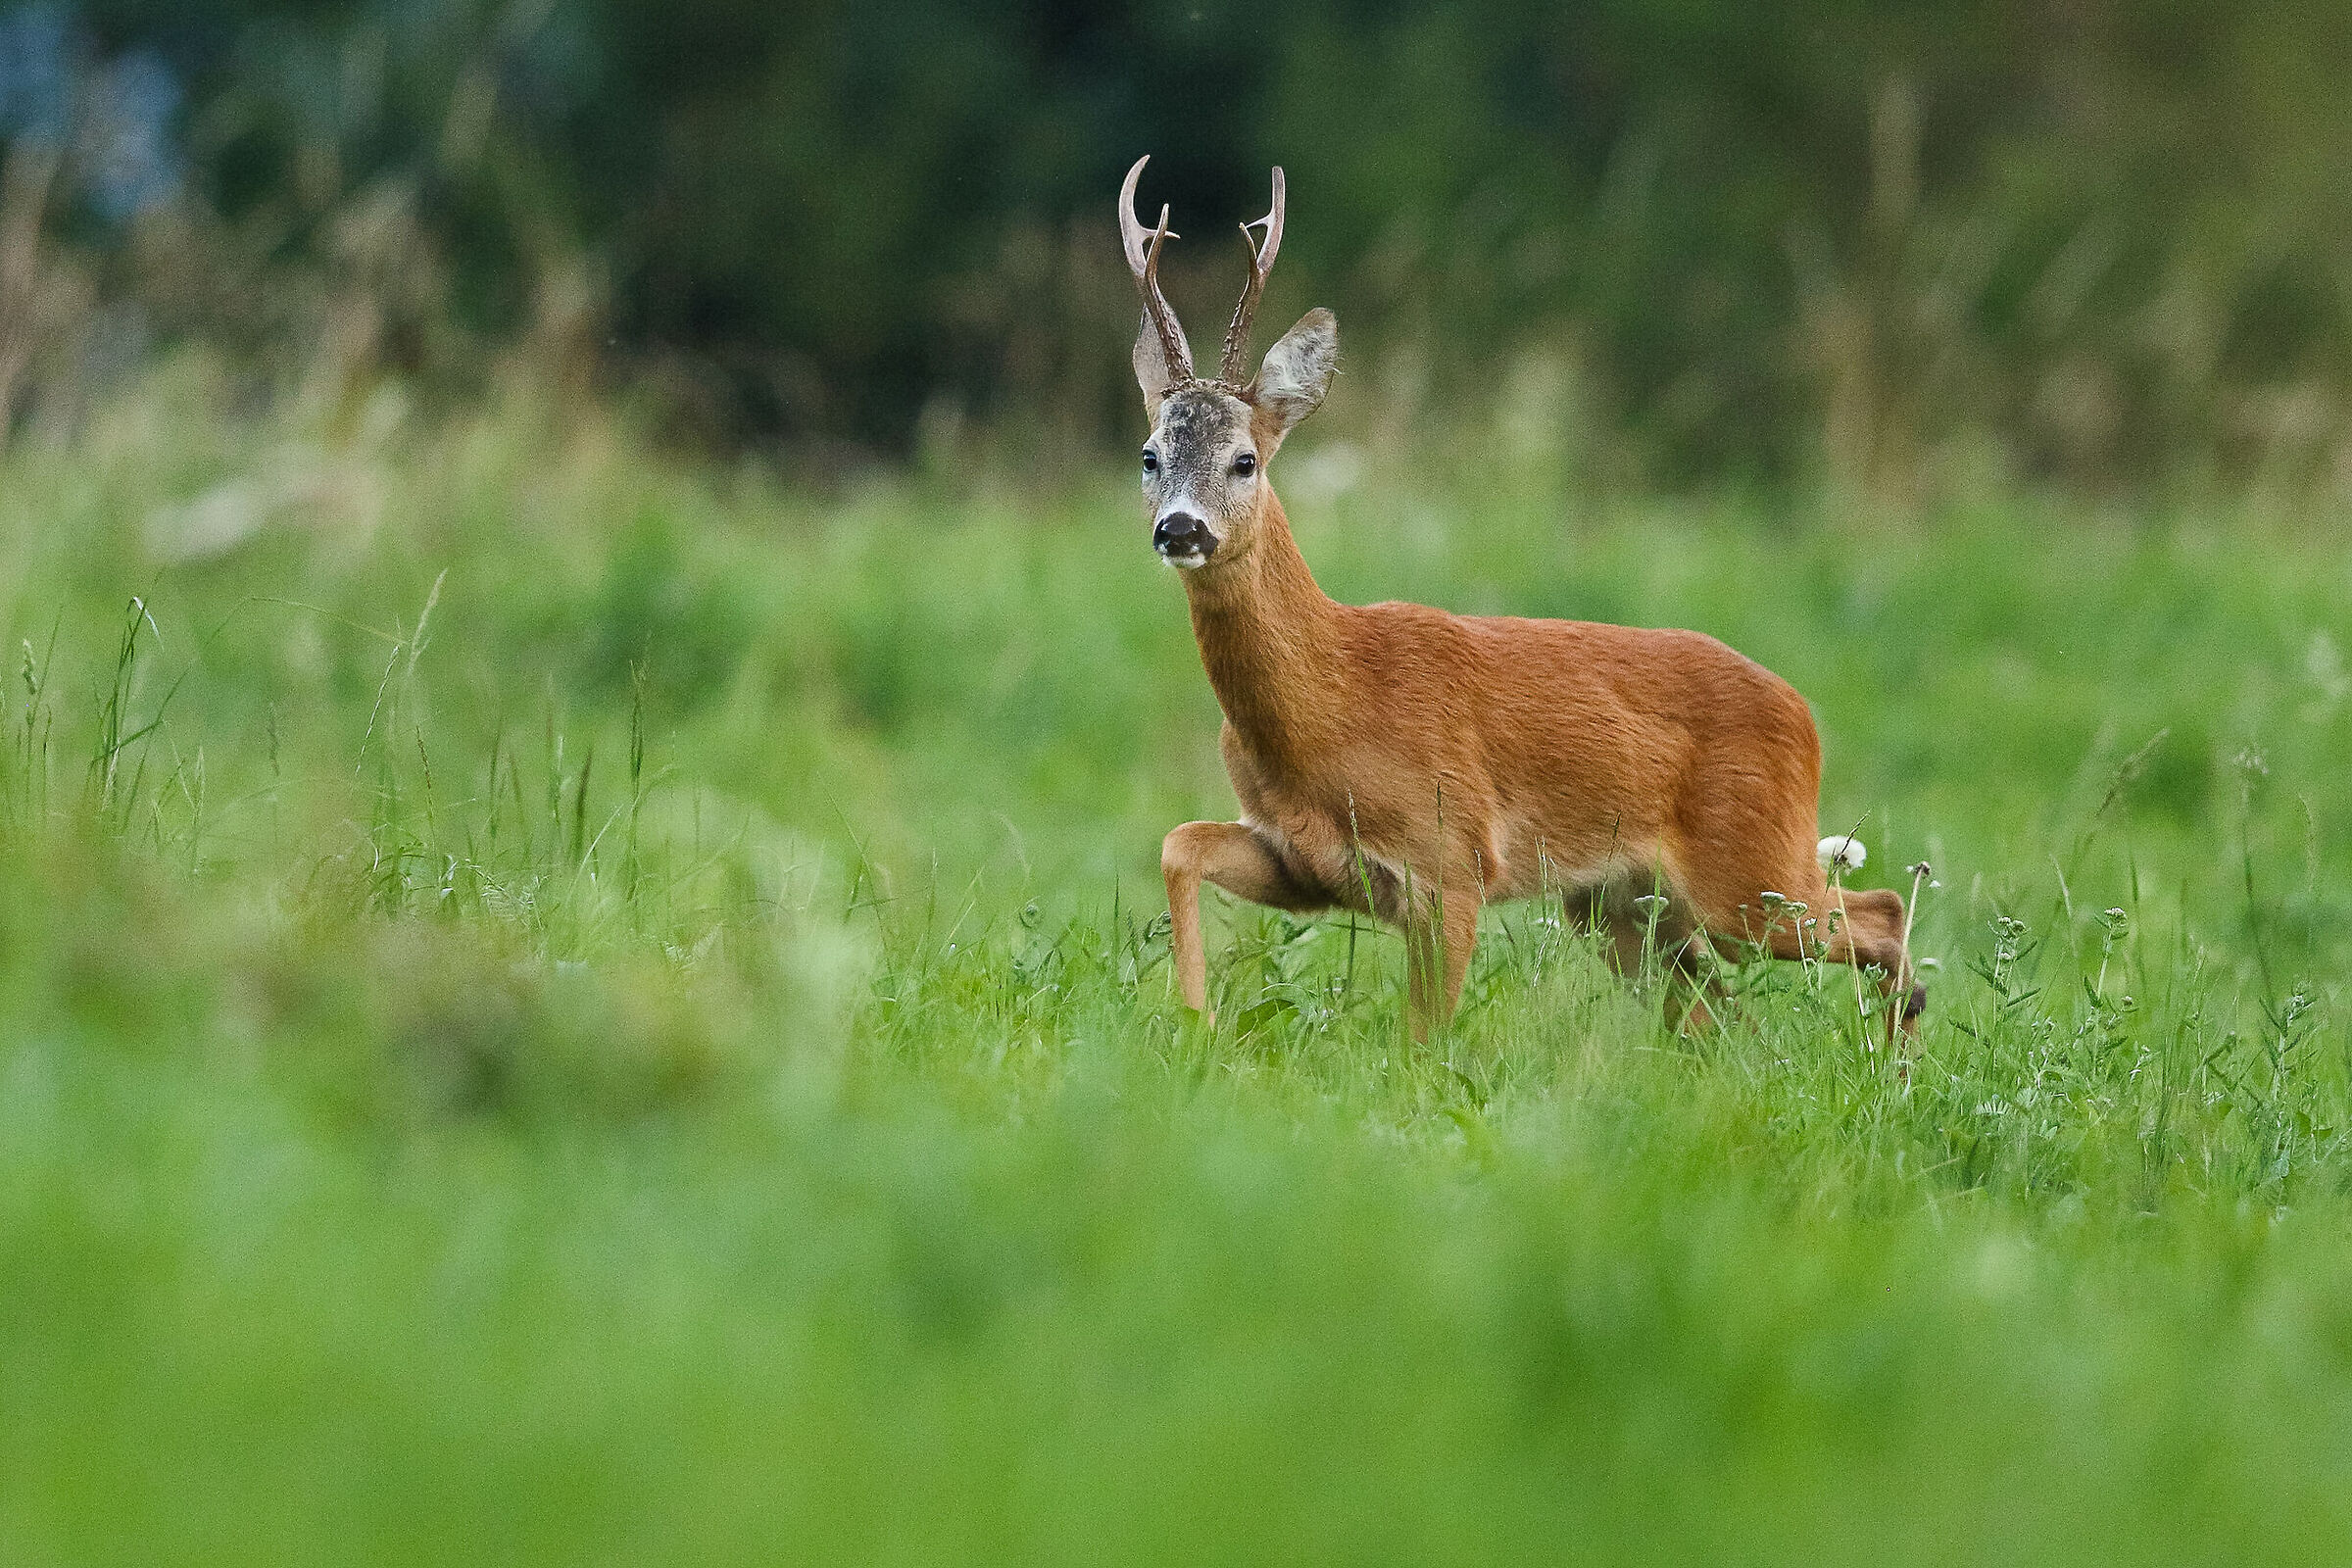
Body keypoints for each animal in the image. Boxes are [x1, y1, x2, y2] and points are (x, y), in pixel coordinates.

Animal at [1120, 156, 1924, 1043]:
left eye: (1245, 460)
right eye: (1150, 454)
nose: (1180, 528)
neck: (1334, 696)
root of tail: (1803, 715)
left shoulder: (1452, 856)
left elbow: (1423, 1040)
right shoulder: (1301, 860)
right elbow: (1178, 843)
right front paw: (1193, 1024)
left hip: (1746, 871)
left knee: (1880, 913)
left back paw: (1896, 1058)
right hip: (1619, 905)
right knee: (1723, 1015)